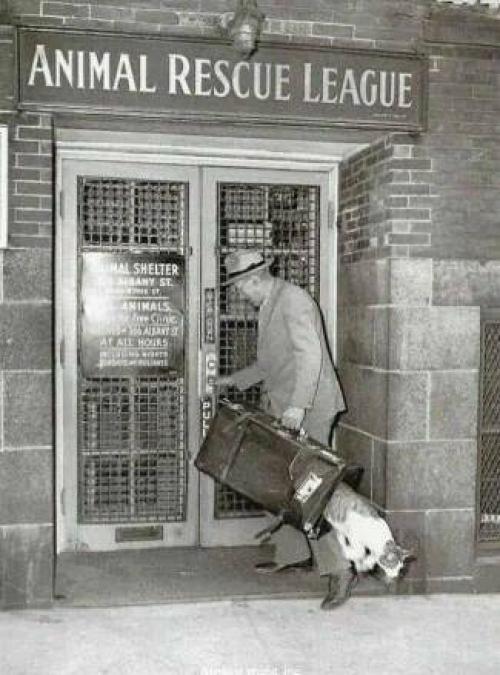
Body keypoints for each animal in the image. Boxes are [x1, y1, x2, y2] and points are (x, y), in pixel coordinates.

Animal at [319, 481, 413, 610]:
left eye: (400, 568)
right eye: (391, 566)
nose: (395, 576)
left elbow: (370, 556)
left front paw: (366, 563)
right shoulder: (354, 536)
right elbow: (358, 552)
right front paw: (354, 558)